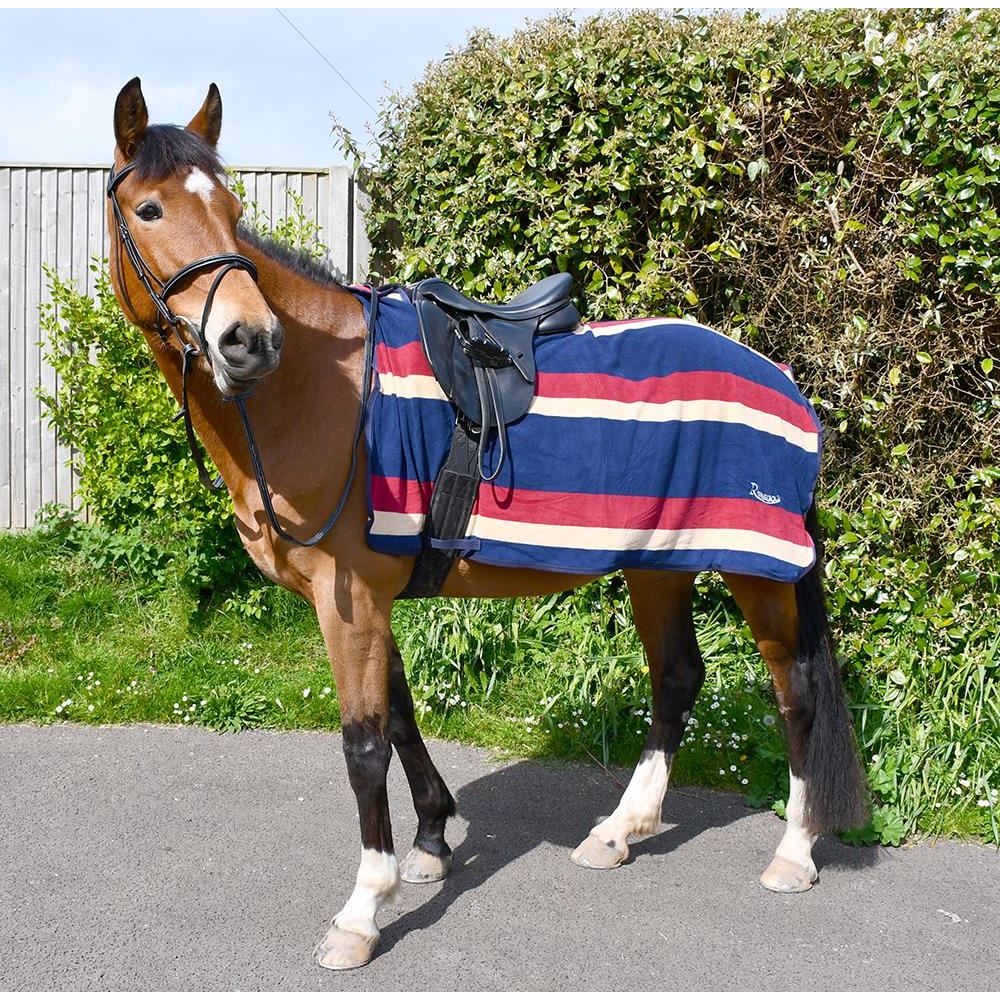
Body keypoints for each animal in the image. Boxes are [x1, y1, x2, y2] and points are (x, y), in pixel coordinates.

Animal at [103, 80, 868, 968]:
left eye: (230, 208)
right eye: (150, 208)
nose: (249, 341)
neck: (321, 394)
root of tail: (782, 378)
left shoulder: (348, 597)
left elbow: (363, 745)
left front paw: (364, 908)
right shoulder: (371, 598)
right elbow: (400, 717)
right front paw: (432, 840)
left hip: (754, 569)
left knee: (797, 691)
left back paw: (794, 853)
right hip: (659, 563)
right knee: (678, 679)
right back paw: (620, 831)